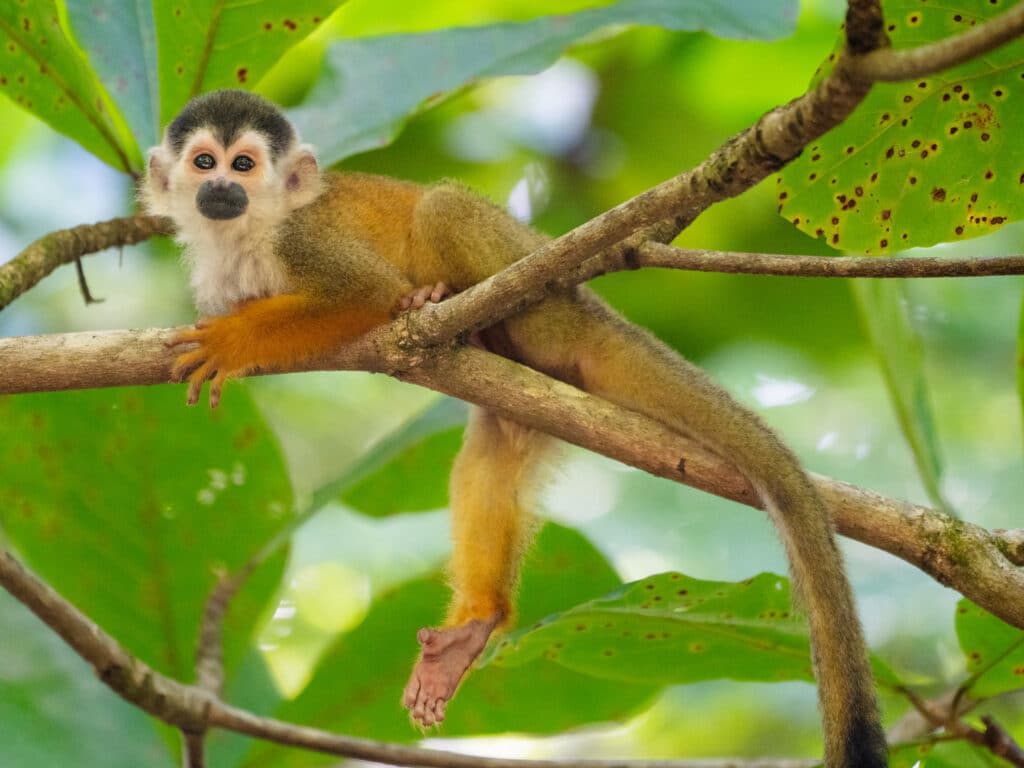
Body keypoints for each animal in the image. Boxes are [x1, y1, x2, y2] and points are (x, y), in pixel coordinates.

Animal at [142, 90, 888, 767]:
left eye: (243, 165)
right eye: (204, 162)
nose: (218, 188)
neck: (246, 235)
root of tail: (589, 308)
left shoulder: (303, 240)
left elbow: (363, 294)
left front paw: (235, 341)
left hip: (544, 303)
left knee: (443, 209)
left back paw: (448, 307)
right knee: (499, 443)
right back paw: (473, 624)